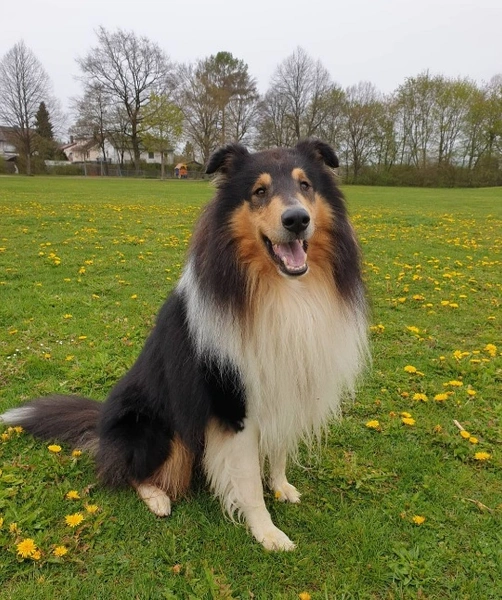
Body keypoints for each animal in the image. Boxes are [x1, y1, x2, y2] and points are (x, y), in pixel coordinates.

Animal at [0, 138, 368, 552]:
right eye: (259, 191)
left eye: (305, 185)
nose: (297, 220)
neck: (282, 291)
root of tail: (102, 424)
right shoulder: (233, 407)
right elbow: (248, 484)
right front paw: (267, 532)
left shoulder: (285, 386)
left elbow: (279, 451)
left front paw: (281, 486)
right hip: (159, 431)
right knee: (124, 472)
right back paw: (158, 498)